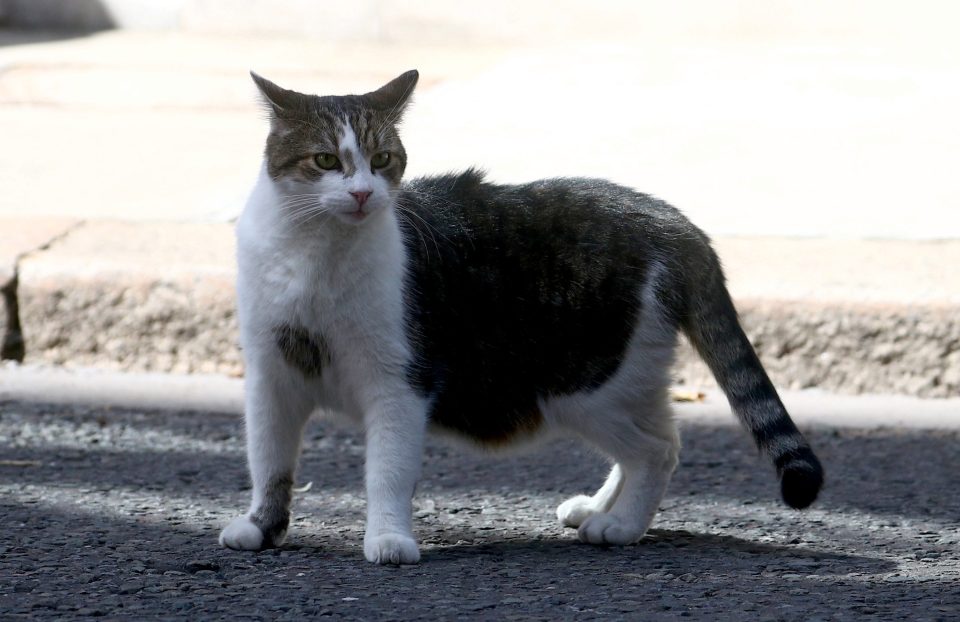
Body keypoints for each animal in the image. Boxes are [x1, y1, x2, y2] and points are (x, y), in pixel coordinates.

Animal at [219, 68, 824, 564]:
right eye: (326, 160)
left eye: (383, 159)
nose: (365, 193)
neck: (314, 256)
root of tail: (672, 222)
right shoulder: (271, 378)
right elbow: (269, 463)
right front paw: (261, 529)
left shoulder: (398, 382)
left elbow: (386, 472)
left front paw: (389, 540)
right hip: (623, 380)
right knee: (663, 436)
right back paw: (599, 509)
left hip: (584, 387)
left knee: (656, 450)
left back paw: (621, 527)